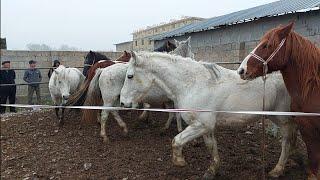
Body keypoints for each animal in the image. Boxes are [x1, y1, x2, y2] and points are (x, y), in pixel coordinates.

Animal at [119, 51, 298, 179]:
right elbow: (211, 147)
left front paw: (180, 162)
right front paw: (212, 170)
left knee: (286, 141)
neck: (194, 84)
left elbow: (176, 141)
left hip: (283, 119)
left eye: (130, 76)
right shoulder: (207, 127)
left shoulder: (201, 125)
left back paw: (277, 170)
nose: (122, 102)